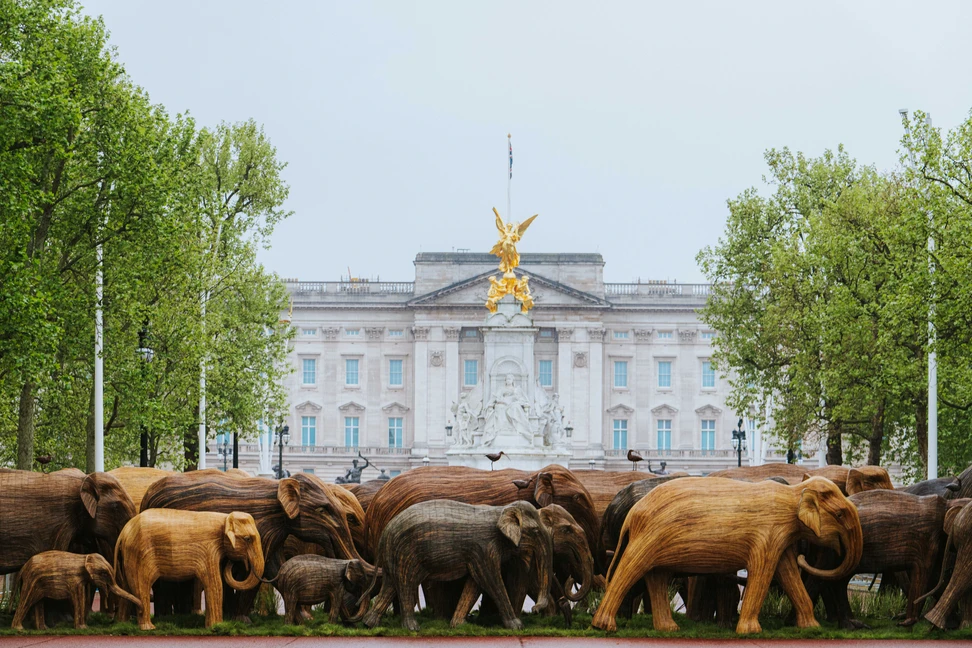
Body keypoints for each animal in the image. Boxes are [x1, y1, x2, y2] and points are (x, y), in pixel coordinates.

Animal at [11, 551, 141, 630]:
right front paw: (83, 628)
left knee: (38, 602)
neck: (84, 557)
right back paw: (19, 629)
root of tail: (24, 567)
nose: (111, 620)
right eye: (104, 574)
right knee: (26, 600)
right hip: (31, 581)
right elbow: (78, 599)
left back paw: (44, 629)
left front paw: (84, 627)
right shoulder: (75, 579)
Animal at [114, 509, 265, 630]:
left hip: (129, 557)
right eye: (247, 539)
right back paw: (149, 628)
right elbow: (214, 583)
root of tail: (123, 533)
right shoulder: (208, 550)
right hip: (139, 555)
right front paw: (216, 626)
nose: (233, 563)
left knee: (127, 587)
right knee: (142, 587)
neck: (224, 518)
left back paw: (122, 624)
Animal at [141, 471, 369, 620]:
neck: (277, 486)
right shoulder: (260, 529)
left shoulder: (272, 534)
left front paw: (302, 621)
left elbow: (275, 569)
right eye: (322, 510)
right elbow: (256, 574)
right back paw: (164, 619)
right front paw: (241, 620)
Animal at [362, 500, 555, 631]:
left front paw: (458, 625)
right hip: (406, 553)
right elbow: (490, 581)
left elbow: (475, 584)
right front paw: (517, 626)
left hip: (394, 555)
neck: (501, 509)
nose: (535, 610)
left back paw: (369, 624)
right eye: (535, 531)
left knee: (390, 585)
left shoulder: (480, 553)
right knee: (406, 585)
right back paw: (412, 628)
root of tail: (385, 532)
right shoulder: (484, 547)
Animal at [592, 476, 863, 634]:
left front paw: (812, 628)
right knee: (630, 568)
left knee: (656, 577)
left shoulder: (781, 537)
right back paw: (604, 626)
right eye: (840, 515)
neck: (794, 492)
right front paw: (752, 632)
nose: (805, 557)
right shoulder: (767, 533)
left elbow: (788, 574)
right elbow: (762, 572)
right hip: (649, 537)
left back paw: (669, 629)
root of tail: (633, 514)